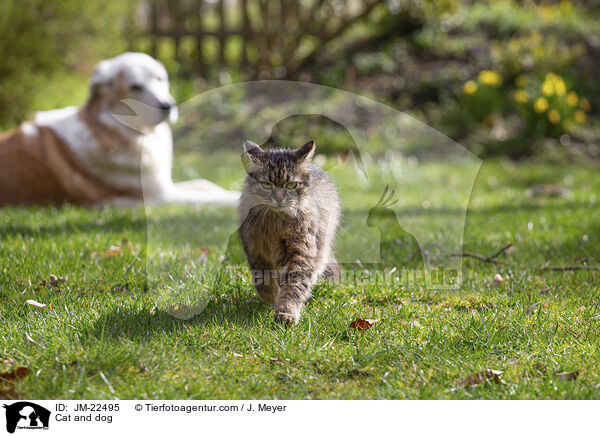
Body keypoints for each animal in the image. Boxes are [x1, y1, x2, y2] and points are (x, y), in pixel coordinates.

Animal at [0, 50, 239, 207]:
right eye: (135, 87)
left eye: (160, 78)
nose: (168, 105)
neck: (116, 131)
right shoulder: (161, 197)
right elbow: (216, 198)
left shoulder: (167, 186)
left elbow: (207, 184)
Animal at [239, 139, 342, 324]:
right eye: (267, 184)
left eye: (292, 185)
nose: (279, 198)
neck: (276, 222)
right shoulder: (255, 251)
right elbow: (263, 281)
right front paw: (272, 297)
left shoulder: (301, 252)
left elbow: (293, 286)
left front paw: (286, 312)